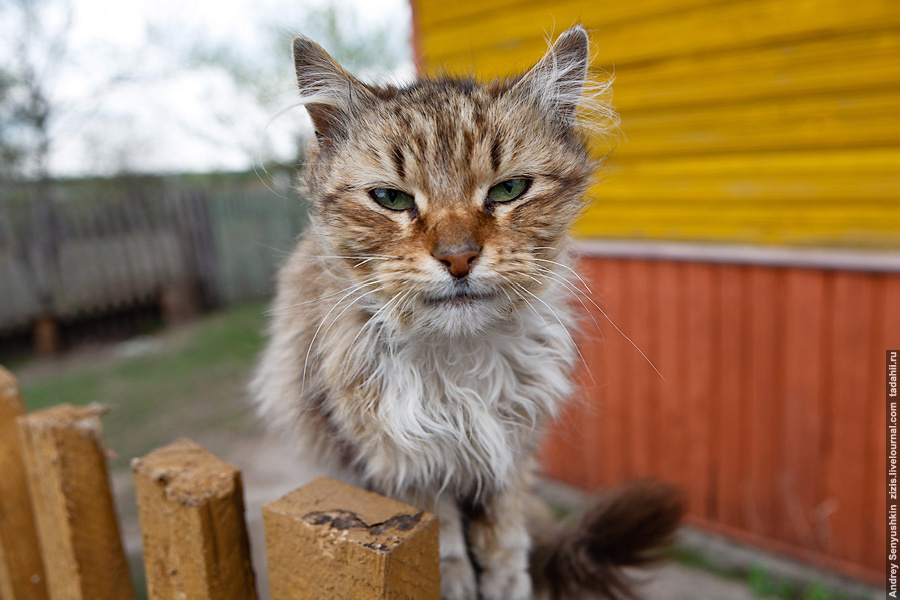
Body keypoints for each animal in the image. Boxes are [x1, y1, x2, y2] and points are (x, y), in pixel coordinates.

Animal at [253, 23, 684, 600]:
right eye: (391, 198)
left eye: (509, 190)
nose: (458, 258)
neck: (459, 367)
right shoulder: (404, 459)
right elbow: (444, 540)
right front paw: (456, 582)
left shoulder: (506, 449)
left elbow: (504, 537)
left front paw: (505, 580)